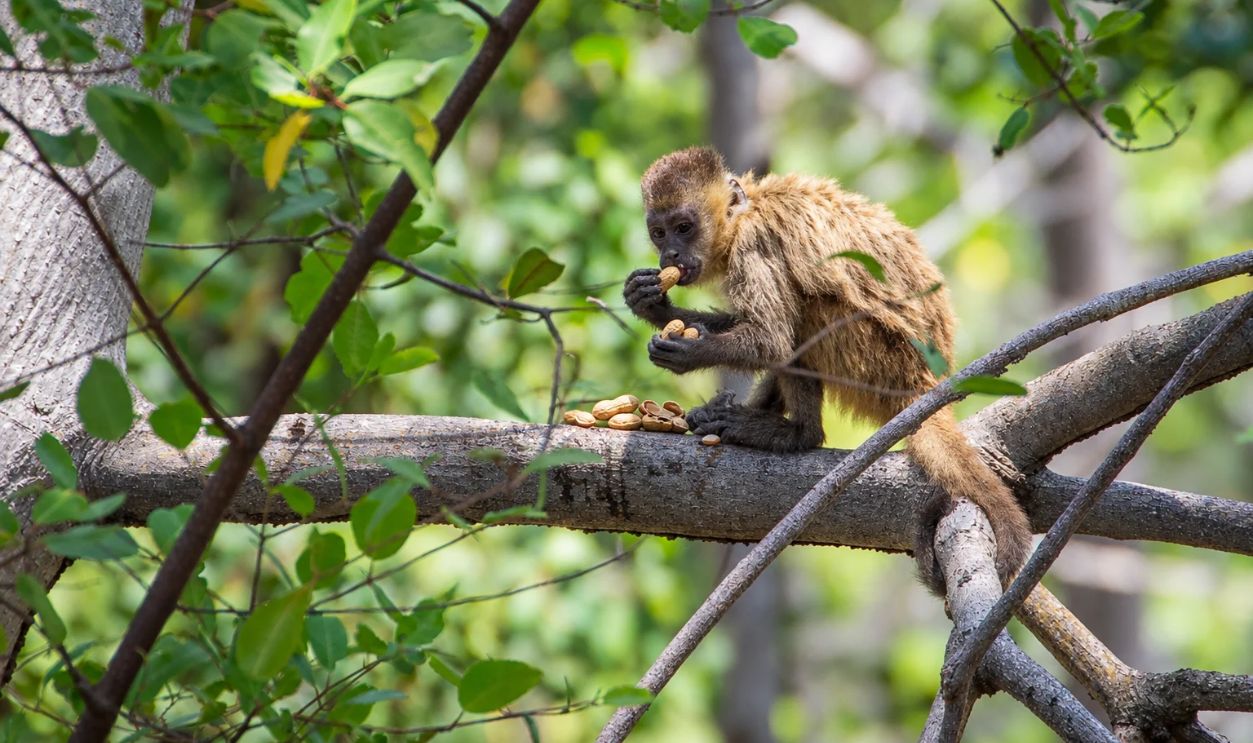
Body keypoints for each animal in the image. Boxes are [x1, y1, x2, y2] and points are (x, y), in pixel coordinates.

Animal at [622, 146, 1031, 592]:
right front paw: (655, 306)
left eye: (684, 227)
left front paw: (686, 351)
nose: (670, 256)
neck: (746, 214)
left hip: (876, 364)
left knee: (807, 310)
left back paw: (796, 433)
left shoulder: (755, 245)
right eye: (659, 234)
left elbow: (772, 338)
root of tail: (925, 385)